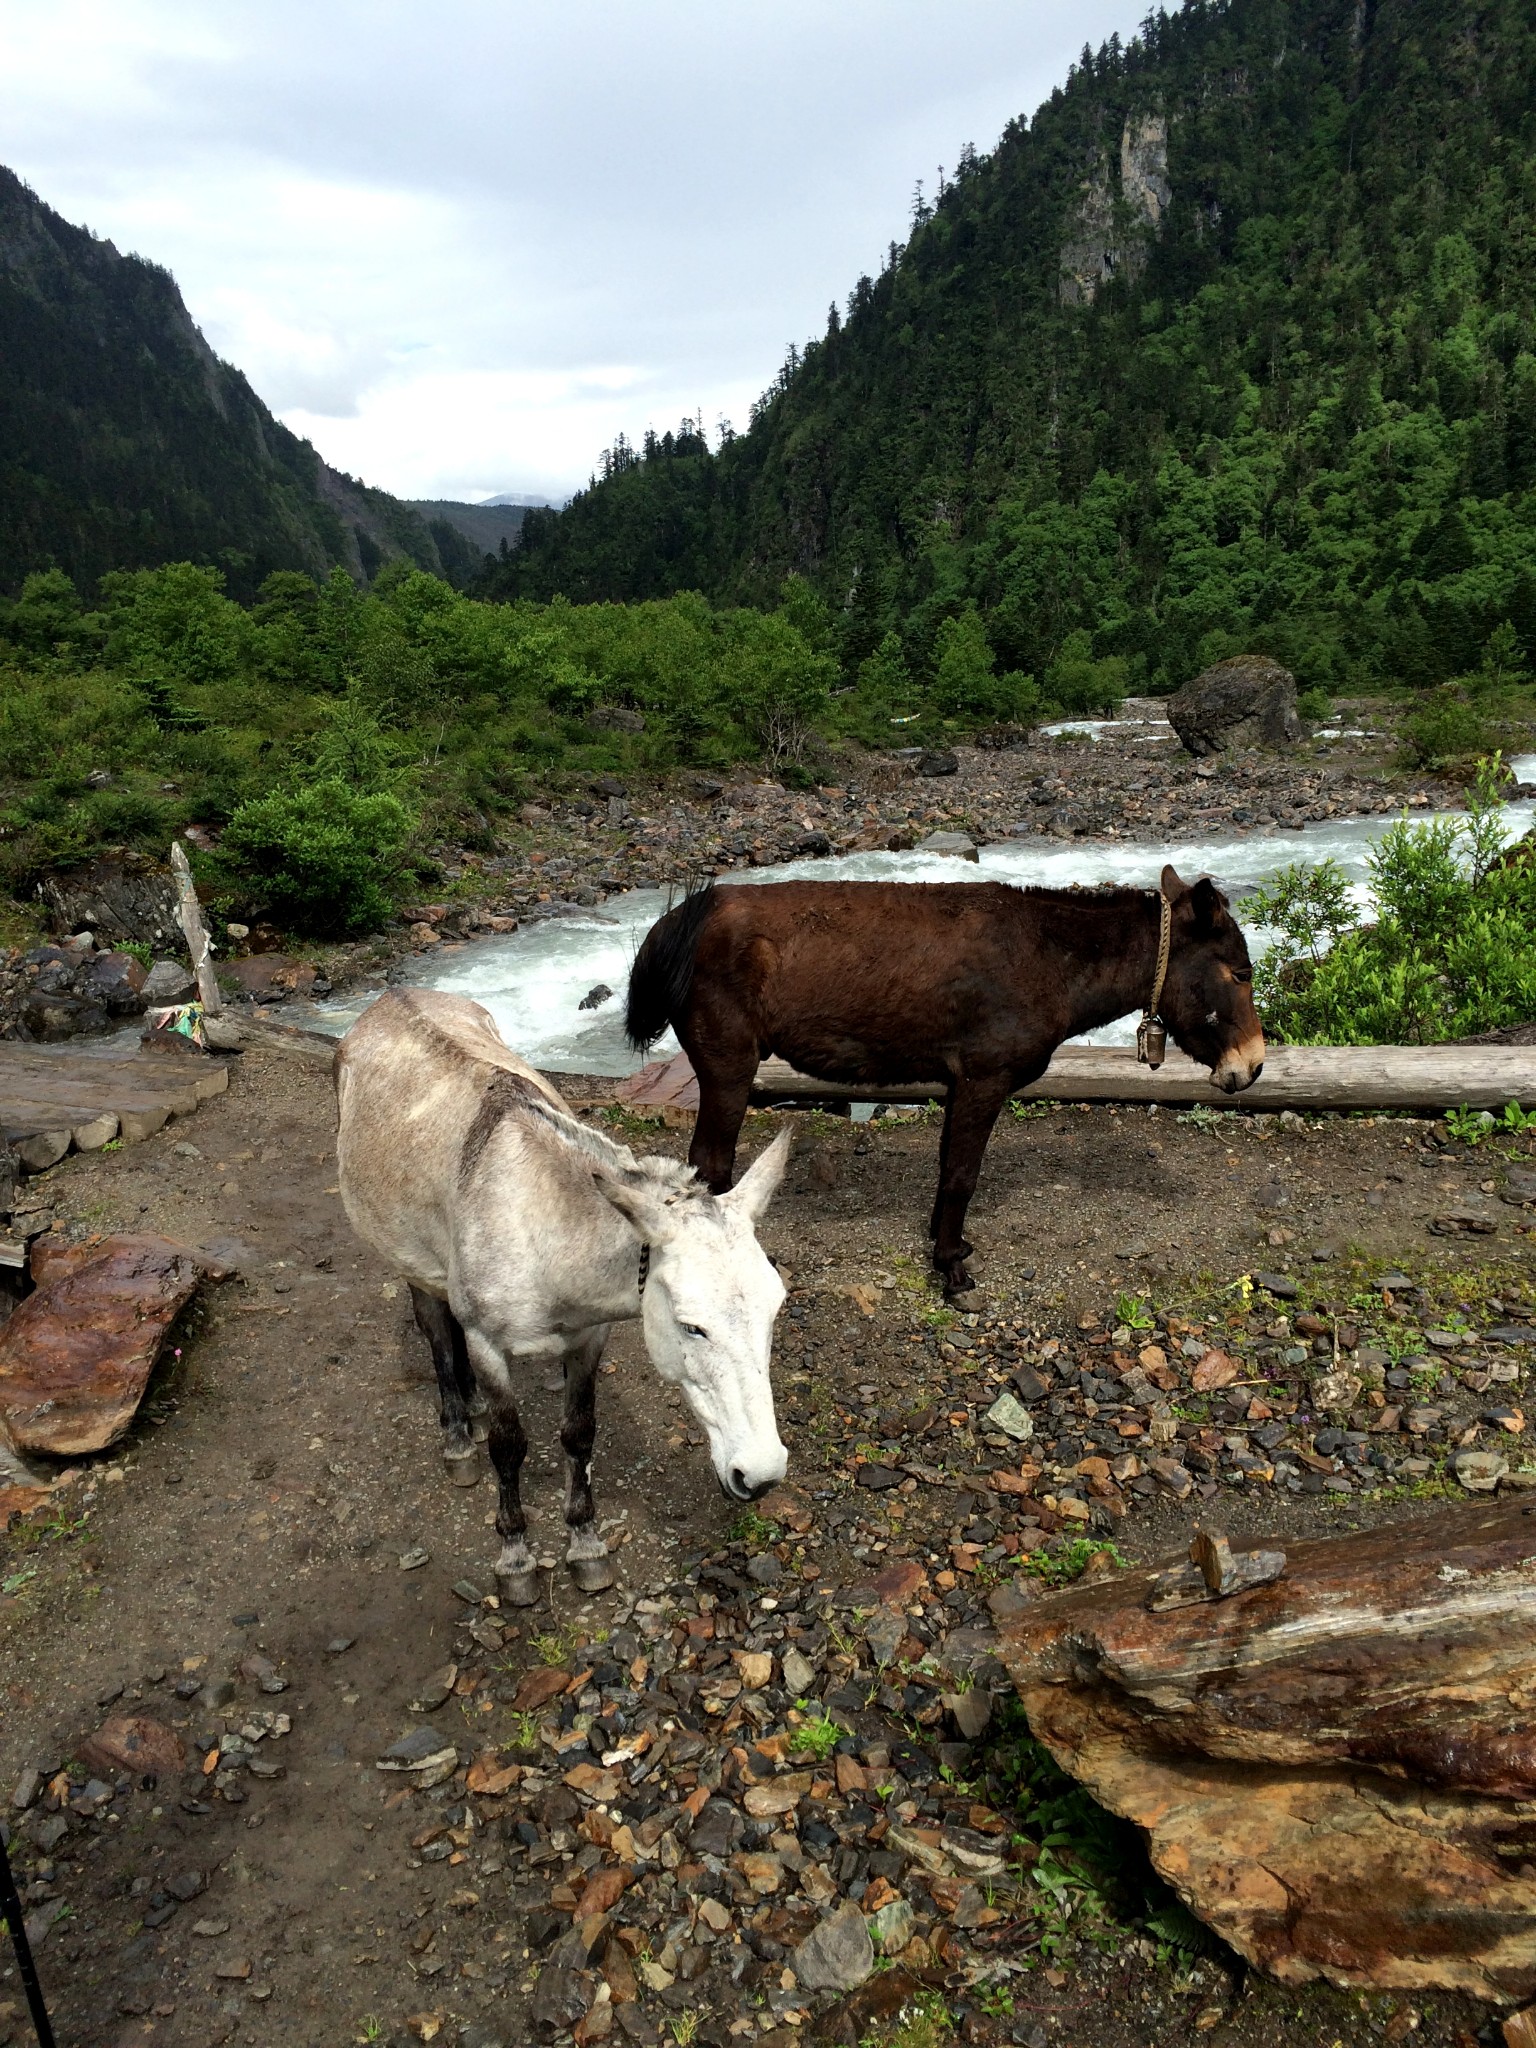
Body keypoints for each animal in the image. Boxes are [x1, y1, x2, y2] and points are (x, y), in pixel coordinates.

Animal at [337, 987, 794, 1597]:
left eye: (774, 1313)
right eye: (691, 1325)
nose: (761, 1474)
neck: (541, 1222)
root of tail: (390, 996)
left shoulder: (588, 1337)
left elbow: (580, 1434)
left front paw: (585, 1546)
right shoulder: (488, 1343)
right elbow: (509, 1446)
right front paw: (515, 1558)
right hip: (409, 1261)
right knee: (436, 1330)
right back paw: (459, 1435)